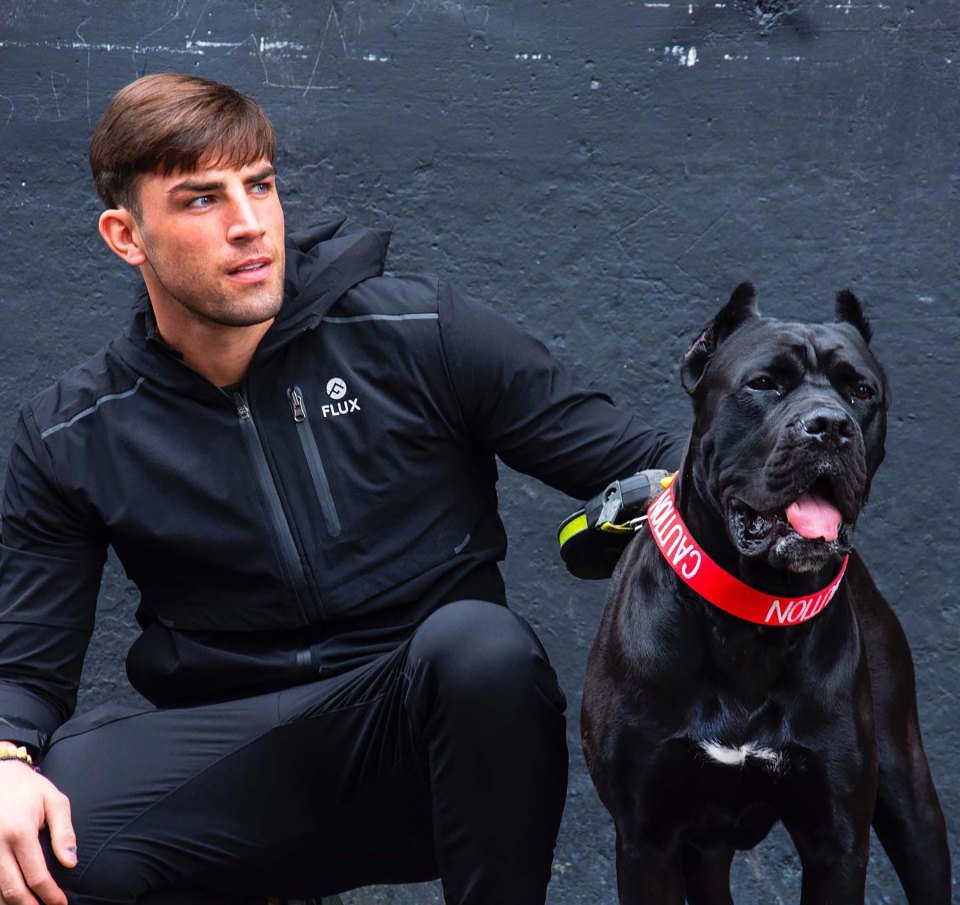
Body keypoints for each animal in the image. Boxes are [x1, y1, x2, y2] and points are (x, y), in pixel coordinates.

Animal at [580, 286, 948, 900]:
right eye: (764, 384)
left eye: (861, 391)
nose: (830, 426)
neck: (751, 615)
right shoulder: (646, 838)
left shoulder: (837, 840)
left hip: (908, 790)